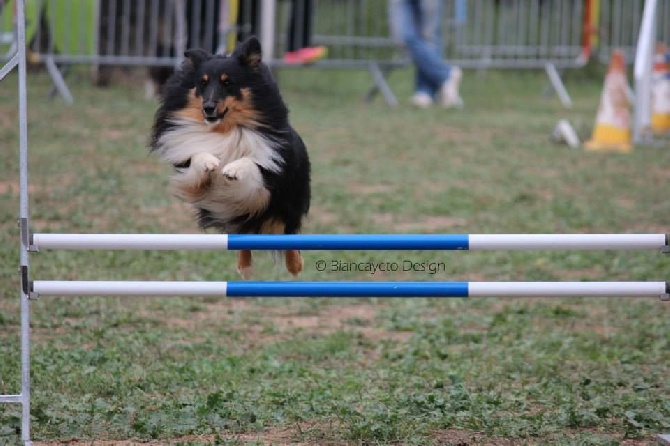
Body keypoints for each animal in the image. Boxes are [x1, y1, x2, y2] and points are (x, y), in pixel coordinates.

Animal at [151, 36, 312, 278]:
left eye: (228, 83)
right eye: (202, 83)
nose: (208, 108)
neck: (224, 129)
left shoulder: (270, 176)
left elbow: (251, 162)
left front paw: (232, 169)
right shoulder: (188, 170)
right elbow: (196, 156)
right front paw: (209, 162)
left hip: (288, 199)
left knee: (289, 231)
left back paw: (295, 265)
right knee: (243, 237)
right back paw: (244, 267)